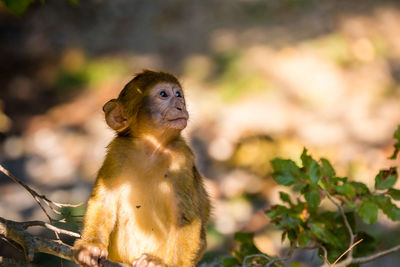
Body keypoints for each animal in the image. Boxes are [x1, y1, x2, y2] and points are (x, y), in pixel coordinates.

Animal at [74, 70, 211, 266]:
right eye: (164, 94)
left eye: (178, 94)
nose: (180, 106)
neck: (151, 149)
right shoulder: (118, 152)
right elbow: (104, 199)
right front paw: (89, 248)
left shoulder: (182, 158)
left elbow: (187, 217)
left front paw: (162, 264)